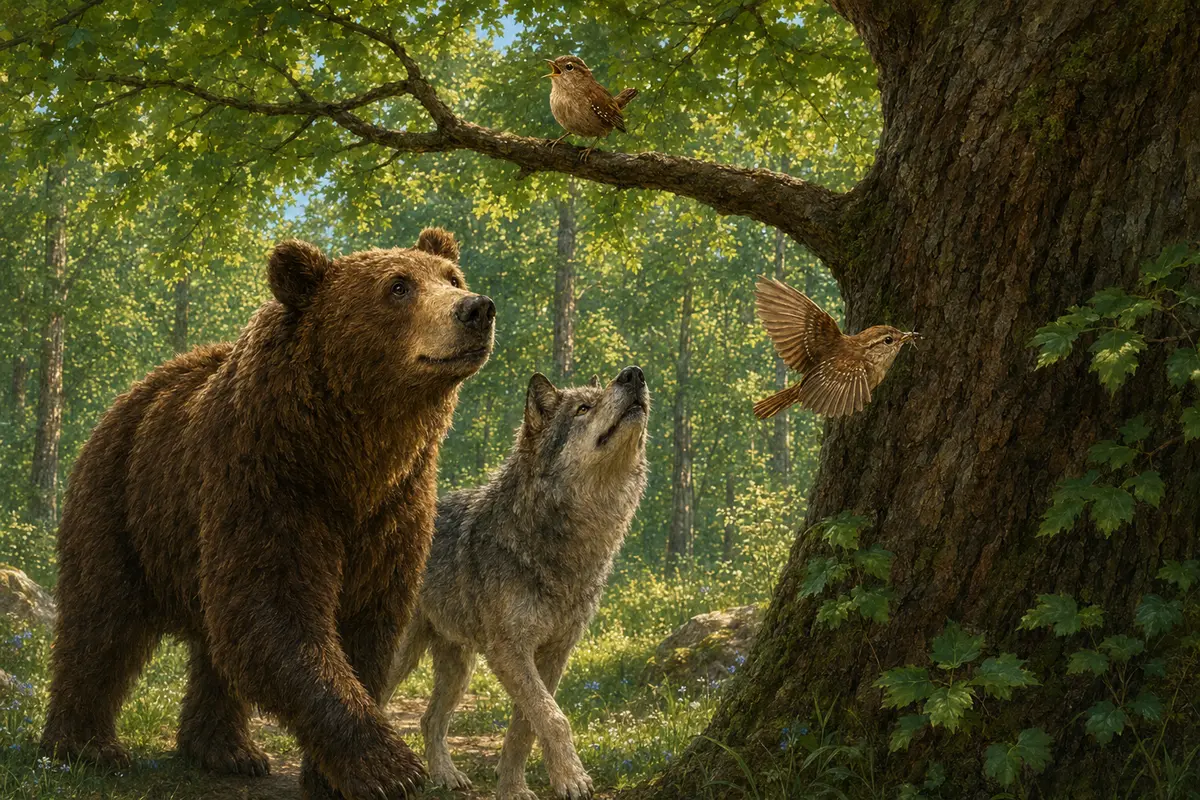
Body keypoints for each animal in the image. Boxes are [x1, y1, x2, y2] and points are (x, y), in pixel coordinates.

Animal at [39, 228, 494, 800]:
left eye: (451, 277)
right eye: (398, 286)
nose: (476, 308)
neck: (351, 455)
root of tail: (132, 394)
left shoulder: (392, 514)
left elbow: (364, 625)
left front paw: (329, 776)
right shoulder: (269, 486)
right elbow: (275, 615)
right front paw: (389, 768)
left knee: (211, 642)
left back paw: (228, 750)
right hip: (122, 503)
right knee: (100, 621)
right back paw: (84, 747)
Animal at [386, 366, 649, 800]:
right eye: (583, 407)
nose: (634, 374)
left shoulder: (555, 653)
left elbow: (526, 725)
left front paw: (513, 786)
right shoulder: (509, 651)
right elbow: (553, 717)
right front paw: (572, 778)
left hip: (459, 668)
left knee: (430, 719)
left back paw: (445, 775)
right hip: (402, 656)